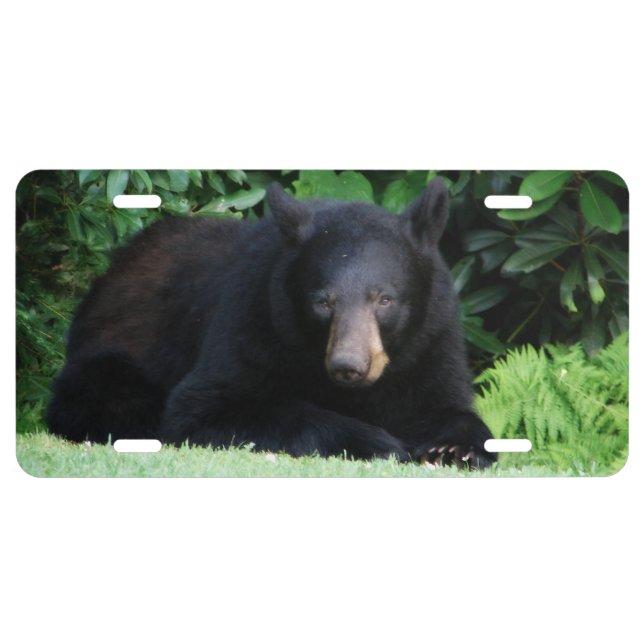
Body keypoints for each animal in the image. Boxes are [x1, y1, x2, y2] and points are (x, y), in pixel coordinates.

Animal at [47, 178, 496, 469]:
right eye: (322, 301)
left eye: (385, 299)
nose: (349, 366)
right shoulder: (255, 317)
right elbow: (208, 407)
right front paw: (380, 442)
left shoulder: (432, 339)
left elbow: (441, 403)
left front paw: (454, 448)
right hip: (112, 358)